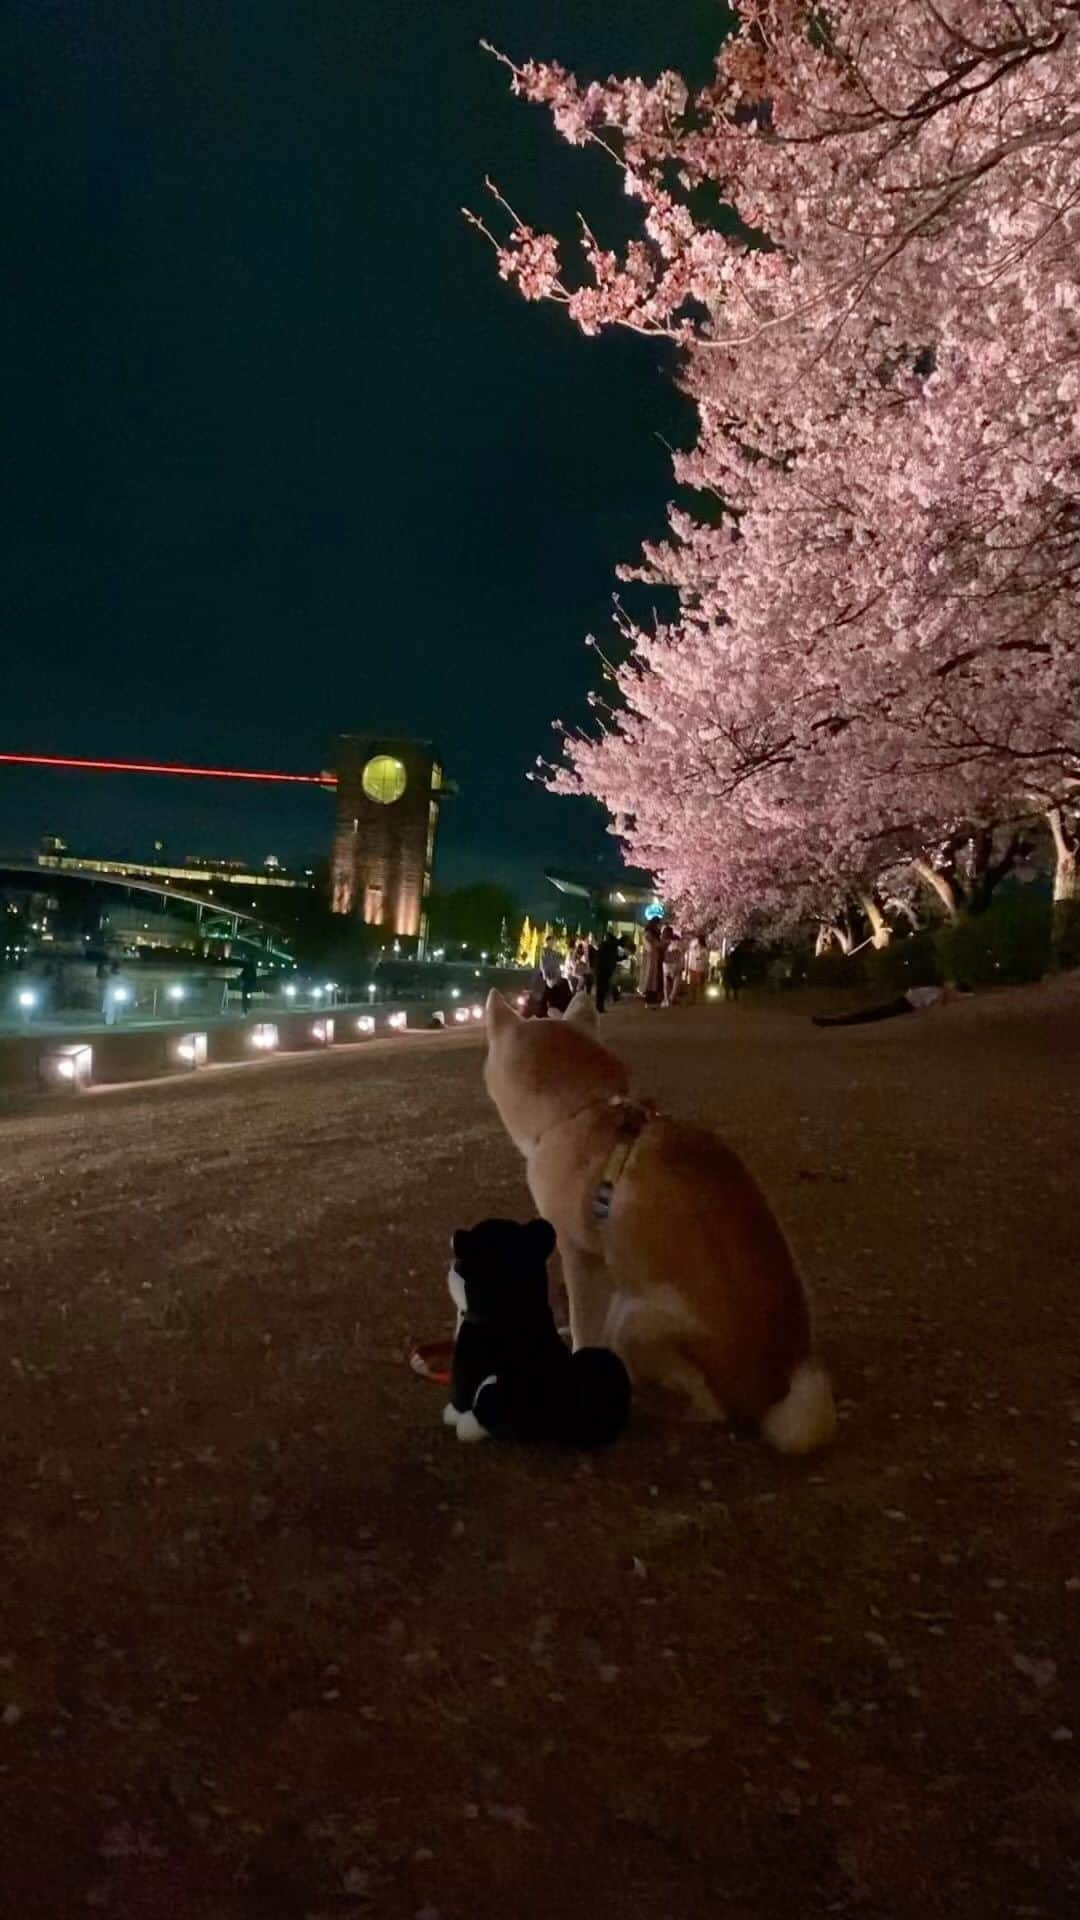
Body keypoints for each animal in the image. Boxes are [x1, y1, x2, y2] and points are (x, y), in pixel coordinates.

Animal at [478, 990, 834, 1451]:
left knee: (710, 1411)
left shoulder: (579, 1254)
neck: (580, 1110)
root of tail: (777, 1389)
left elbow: (584, 1322)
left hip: (636, 1321)